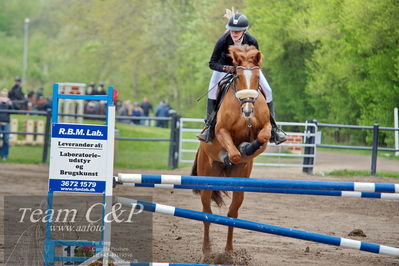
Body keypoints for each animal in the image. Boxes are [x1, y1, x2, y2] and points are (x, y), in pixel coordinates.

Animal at [192, 44, 274, 258]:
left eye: (257, 77)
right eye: (237, 76)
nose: (247, 110)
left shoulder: (265, 128)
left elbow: (262, 138)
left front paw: (247, 148)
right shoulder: (221, 131)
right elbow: (234, 153)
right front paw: (232, 154)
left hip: (240, 187)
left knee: (232, 214)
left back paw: (228, 252)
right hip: (207, 179)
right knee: (207, 214)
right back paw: (207, 251)